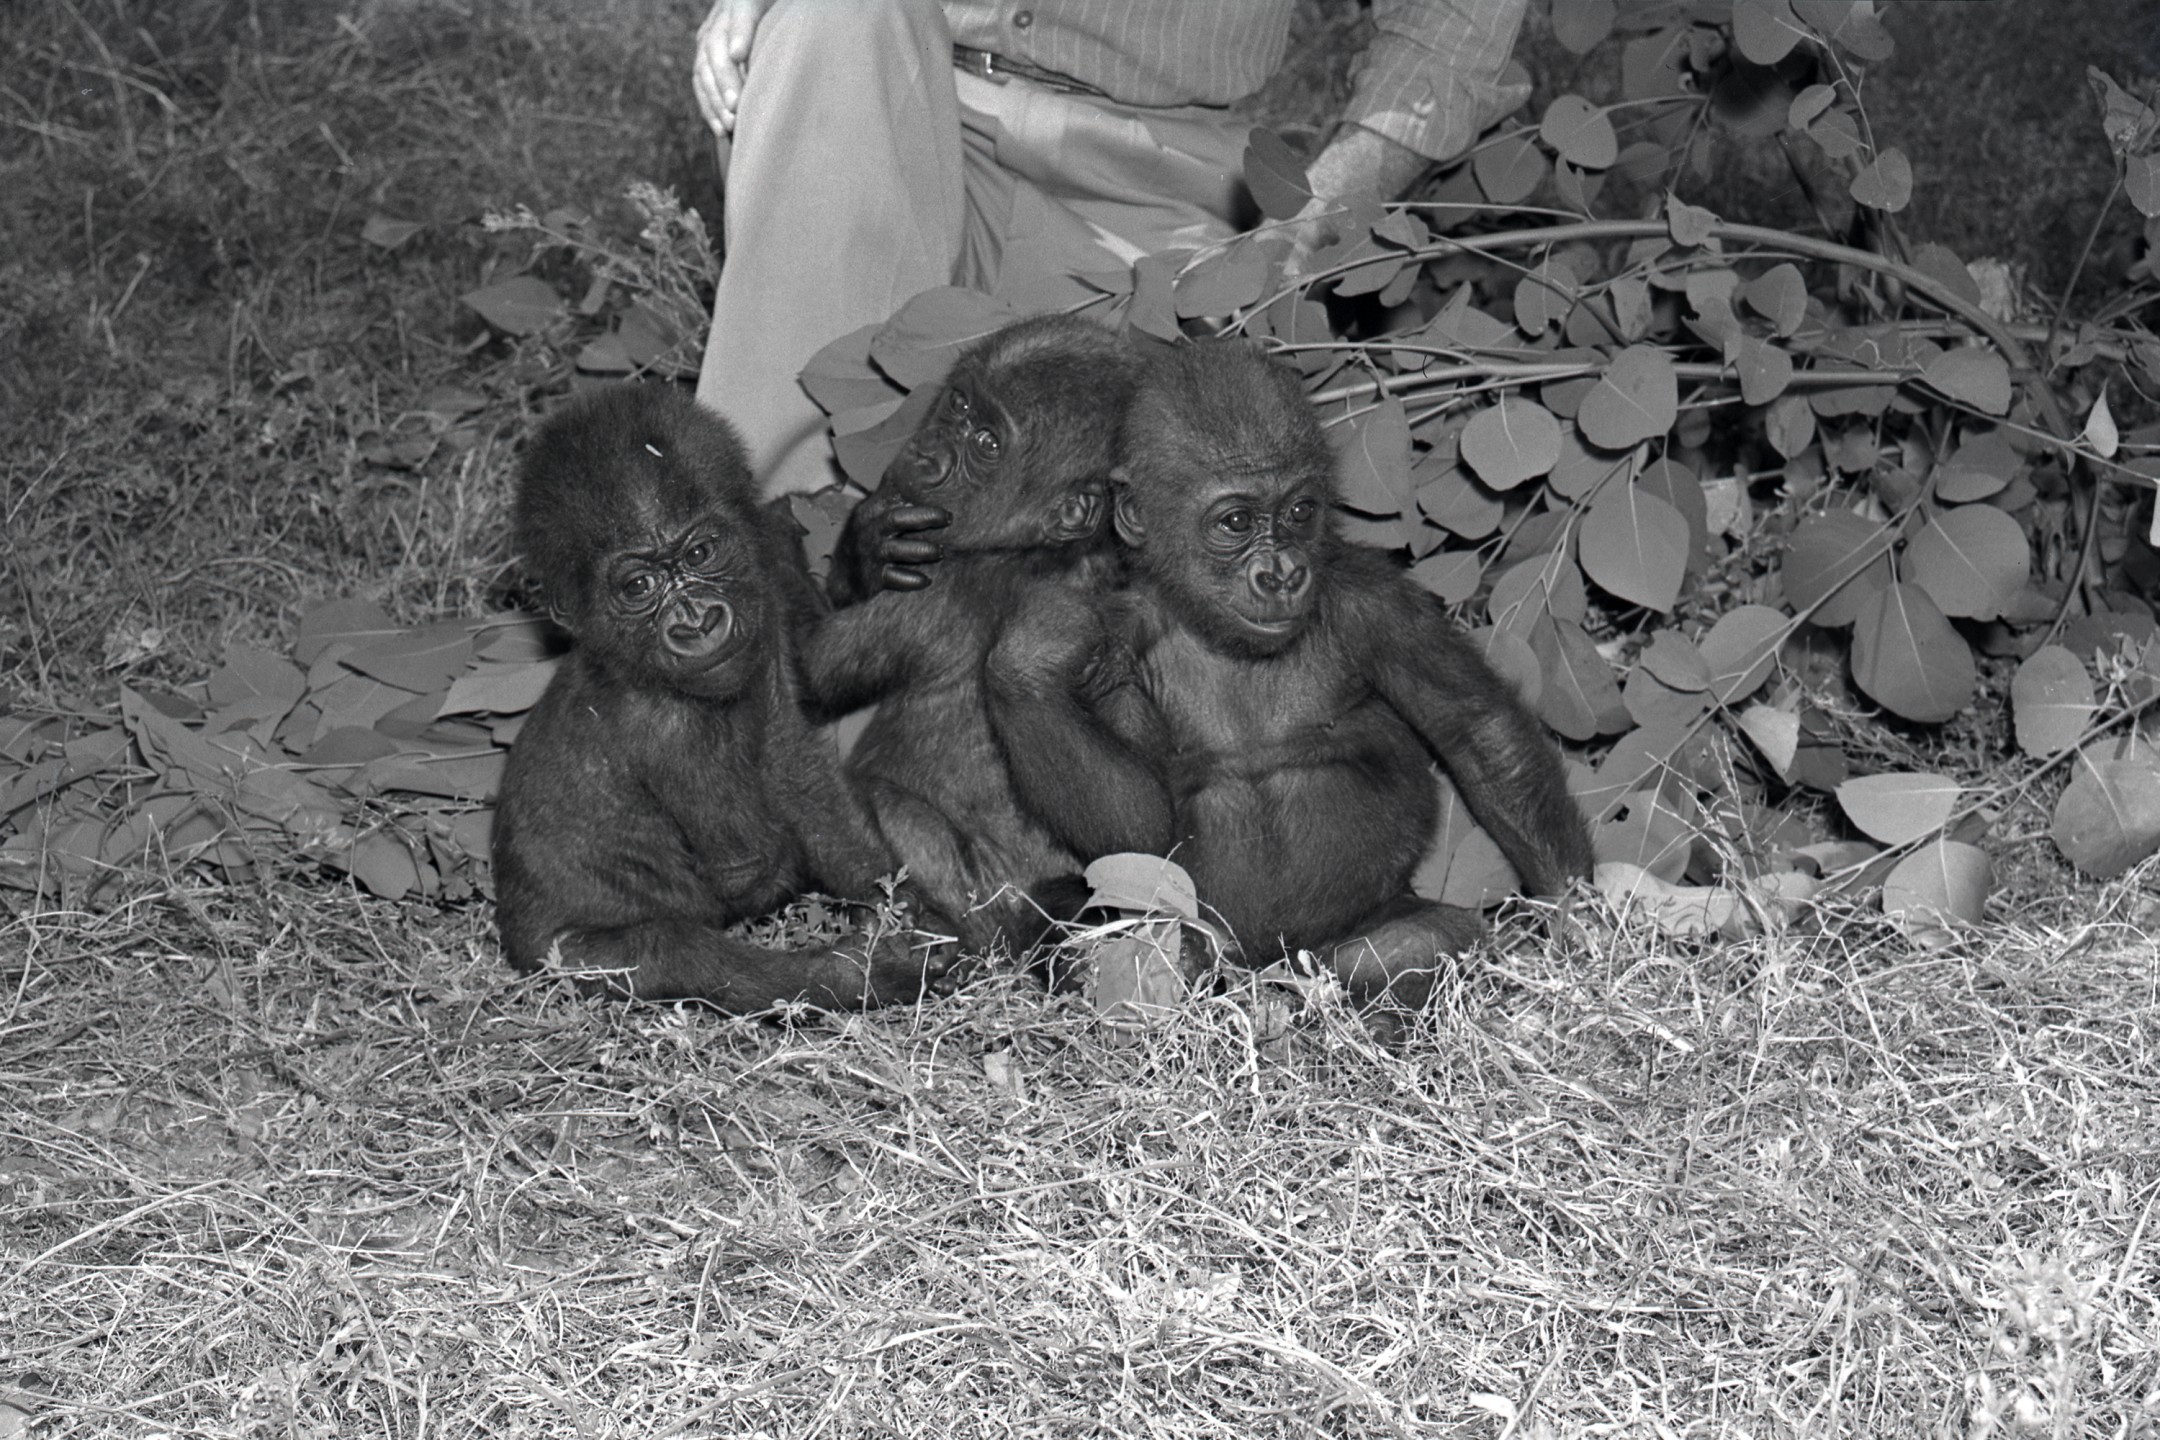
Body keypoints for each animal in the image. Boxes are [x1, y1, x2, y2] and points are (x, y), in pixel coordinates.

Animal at [498, 388, 954, 1010]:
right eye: (638, 587)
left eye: (700, 554)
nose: (697, 623)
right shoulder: (671, 734)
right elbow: (749, 868)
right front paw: (884, 943)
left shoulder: (763, 588)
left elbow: (804, 725)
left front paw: (863, 552)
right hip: (555, 959)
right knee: (678, 953)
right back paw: (856, 975)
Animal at [989, 343, 1598, 1010]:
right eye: (1235, 522)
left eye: (1301, 512)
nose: (1281, 573)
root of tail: (1264, 978)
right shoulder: (1115, 635)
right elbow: (1137, 828)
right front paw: (1029, 658)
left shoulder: (1372, 601)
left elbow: (1478, 731)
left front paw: (1579, 922)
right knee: (1092, 927)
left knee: (1414, 941)